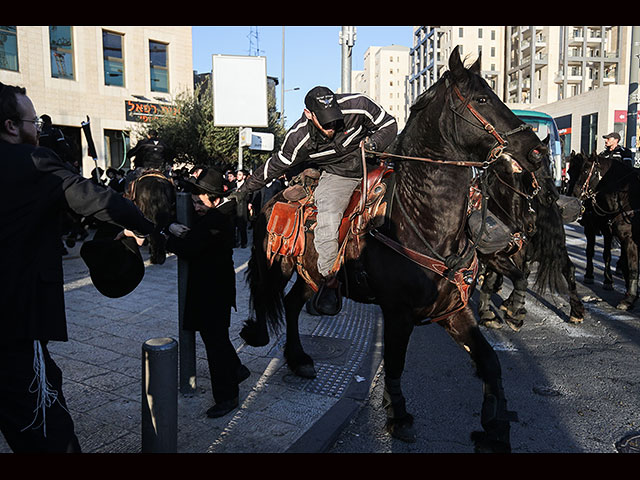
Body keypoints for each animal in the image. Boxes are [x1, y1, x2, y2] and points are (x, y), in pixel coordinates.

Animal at [239, 47, 544, 452]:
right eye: (482, 99)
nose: (537, 151)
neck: (423, 221)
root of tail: (275, 195)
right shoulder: (398, 313)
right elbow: (396, 364)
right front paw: (398, 415)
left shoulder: (453, 308)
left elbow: (490, 361)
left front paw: (494, 427)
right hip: (278, 266)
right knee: (268, 298)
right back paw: (263, 337)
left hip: (312, 273)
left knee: (291, 304)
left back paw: (299, 357)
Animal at [476, 154, 584, 330]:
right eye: (536, 164)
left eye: (550, 163)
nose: (553, 195)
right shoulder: (496, 255)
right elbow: (494, 280)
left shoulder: (501, 255)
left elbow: (506, 278)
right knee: (566, 268)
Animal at [568, 154, 636, 312]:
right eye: (569, 172)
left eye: (585, 171)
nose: (572, 195)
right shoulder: (590, 228)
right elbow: (589, 251)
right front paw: (589, 274)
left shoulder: (616, 234)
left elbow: (613, 257)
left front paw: (610, 282)